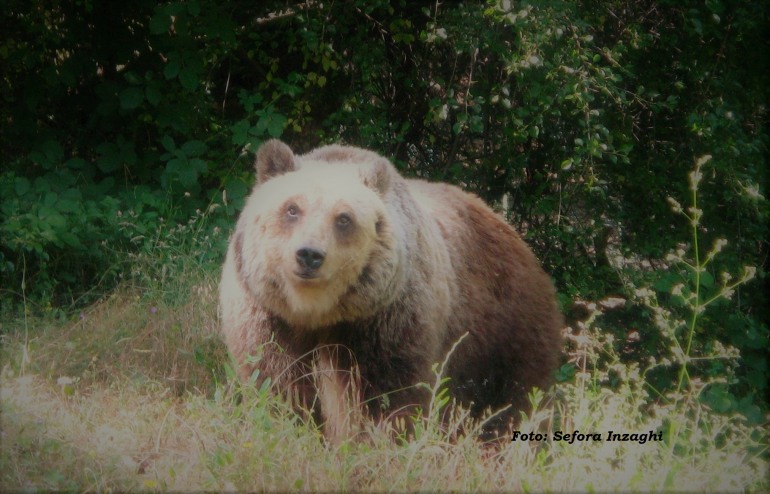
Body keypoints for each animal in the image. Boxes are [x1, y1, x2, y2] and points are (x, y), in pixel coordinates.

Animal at [219, 138, 560, 440]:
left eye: (344, 218)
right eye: (292, 208)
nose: (309, 255)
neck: (318, 313)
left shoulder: (387, 319)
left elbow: (387, 395)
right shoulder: (268, 315)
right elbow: (276, 379)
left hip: (502, 326)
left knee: (511, 396)